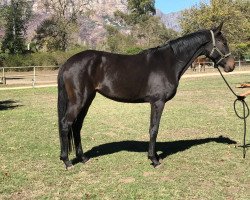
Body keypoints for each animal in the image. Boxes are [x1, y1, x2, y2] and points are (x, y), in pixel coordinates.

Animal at [57, 23, 235, 169]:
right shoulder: (158, 102)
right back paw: (67, 162)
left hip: (87, 100)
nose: (231, 66)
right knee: (66, 124)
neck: (169, 62)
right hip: (79, 100)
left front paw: (155, 156)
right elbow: (154, 129)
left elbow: (153, 128)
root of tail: (67, 63)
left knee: (77, 126)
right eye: (224, 42)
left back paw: (83, 158)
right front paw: (154, 160)